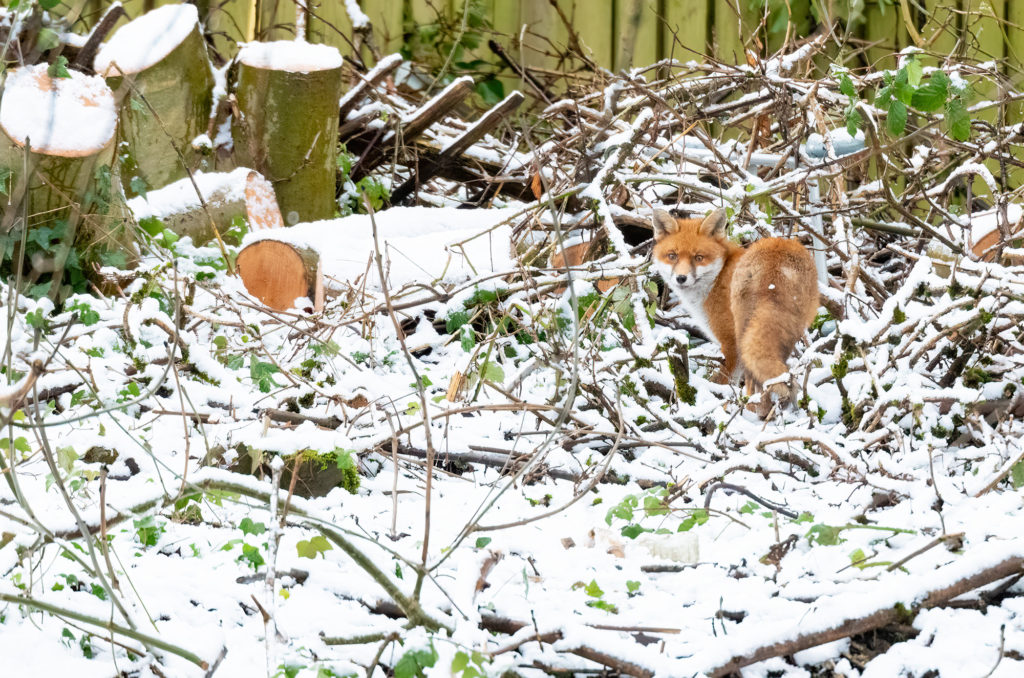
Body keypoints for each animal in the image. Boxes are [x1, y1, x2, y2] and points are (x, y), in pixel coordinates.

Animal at [655, 208, 815, 409]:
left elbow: (723, 383)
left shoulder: (729, 343)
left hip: (743, 332)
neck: (717, 278)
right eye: (672, 256)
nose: (681, 278)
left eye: (698, 258)